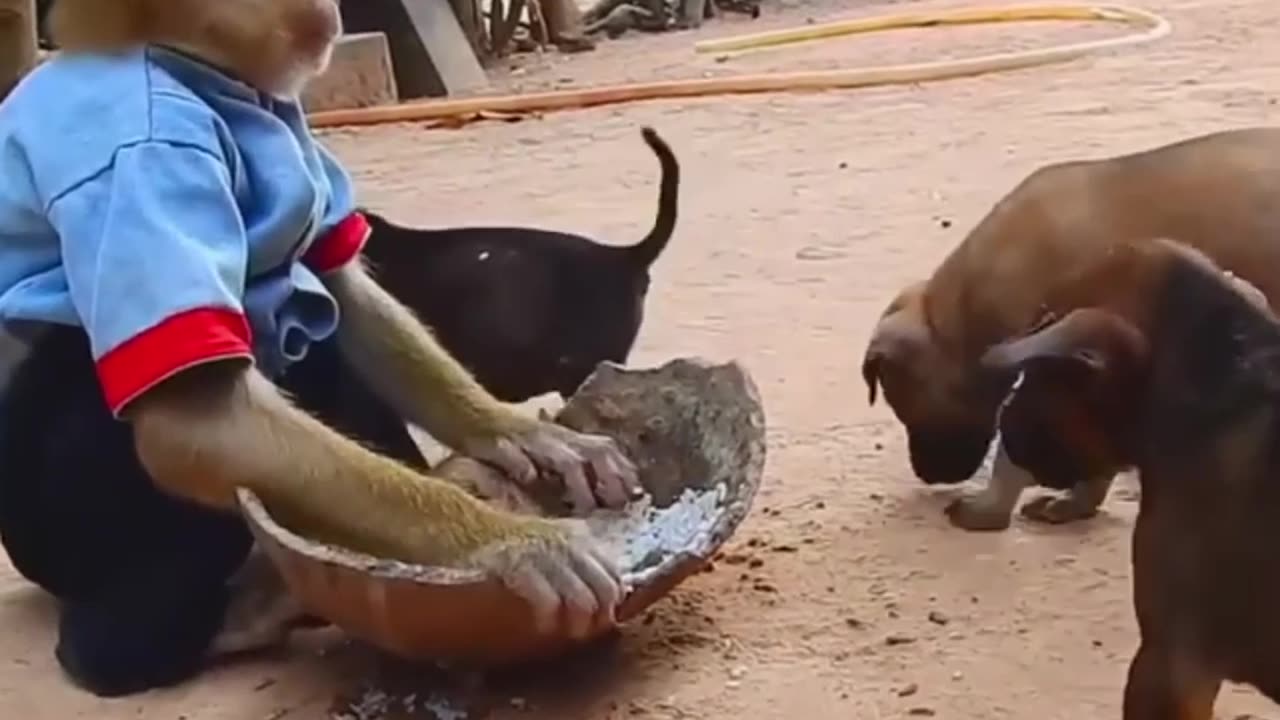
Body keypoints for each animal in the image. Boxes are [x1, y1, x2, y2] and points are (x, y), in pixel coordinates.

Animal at [0, 0, 640, 696]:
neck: (185, 64)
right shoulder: (141, 158)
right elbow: (194, 421)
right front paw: (509, 544)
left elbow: (340, 284)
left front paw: (517, 434)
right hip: (66, 517)